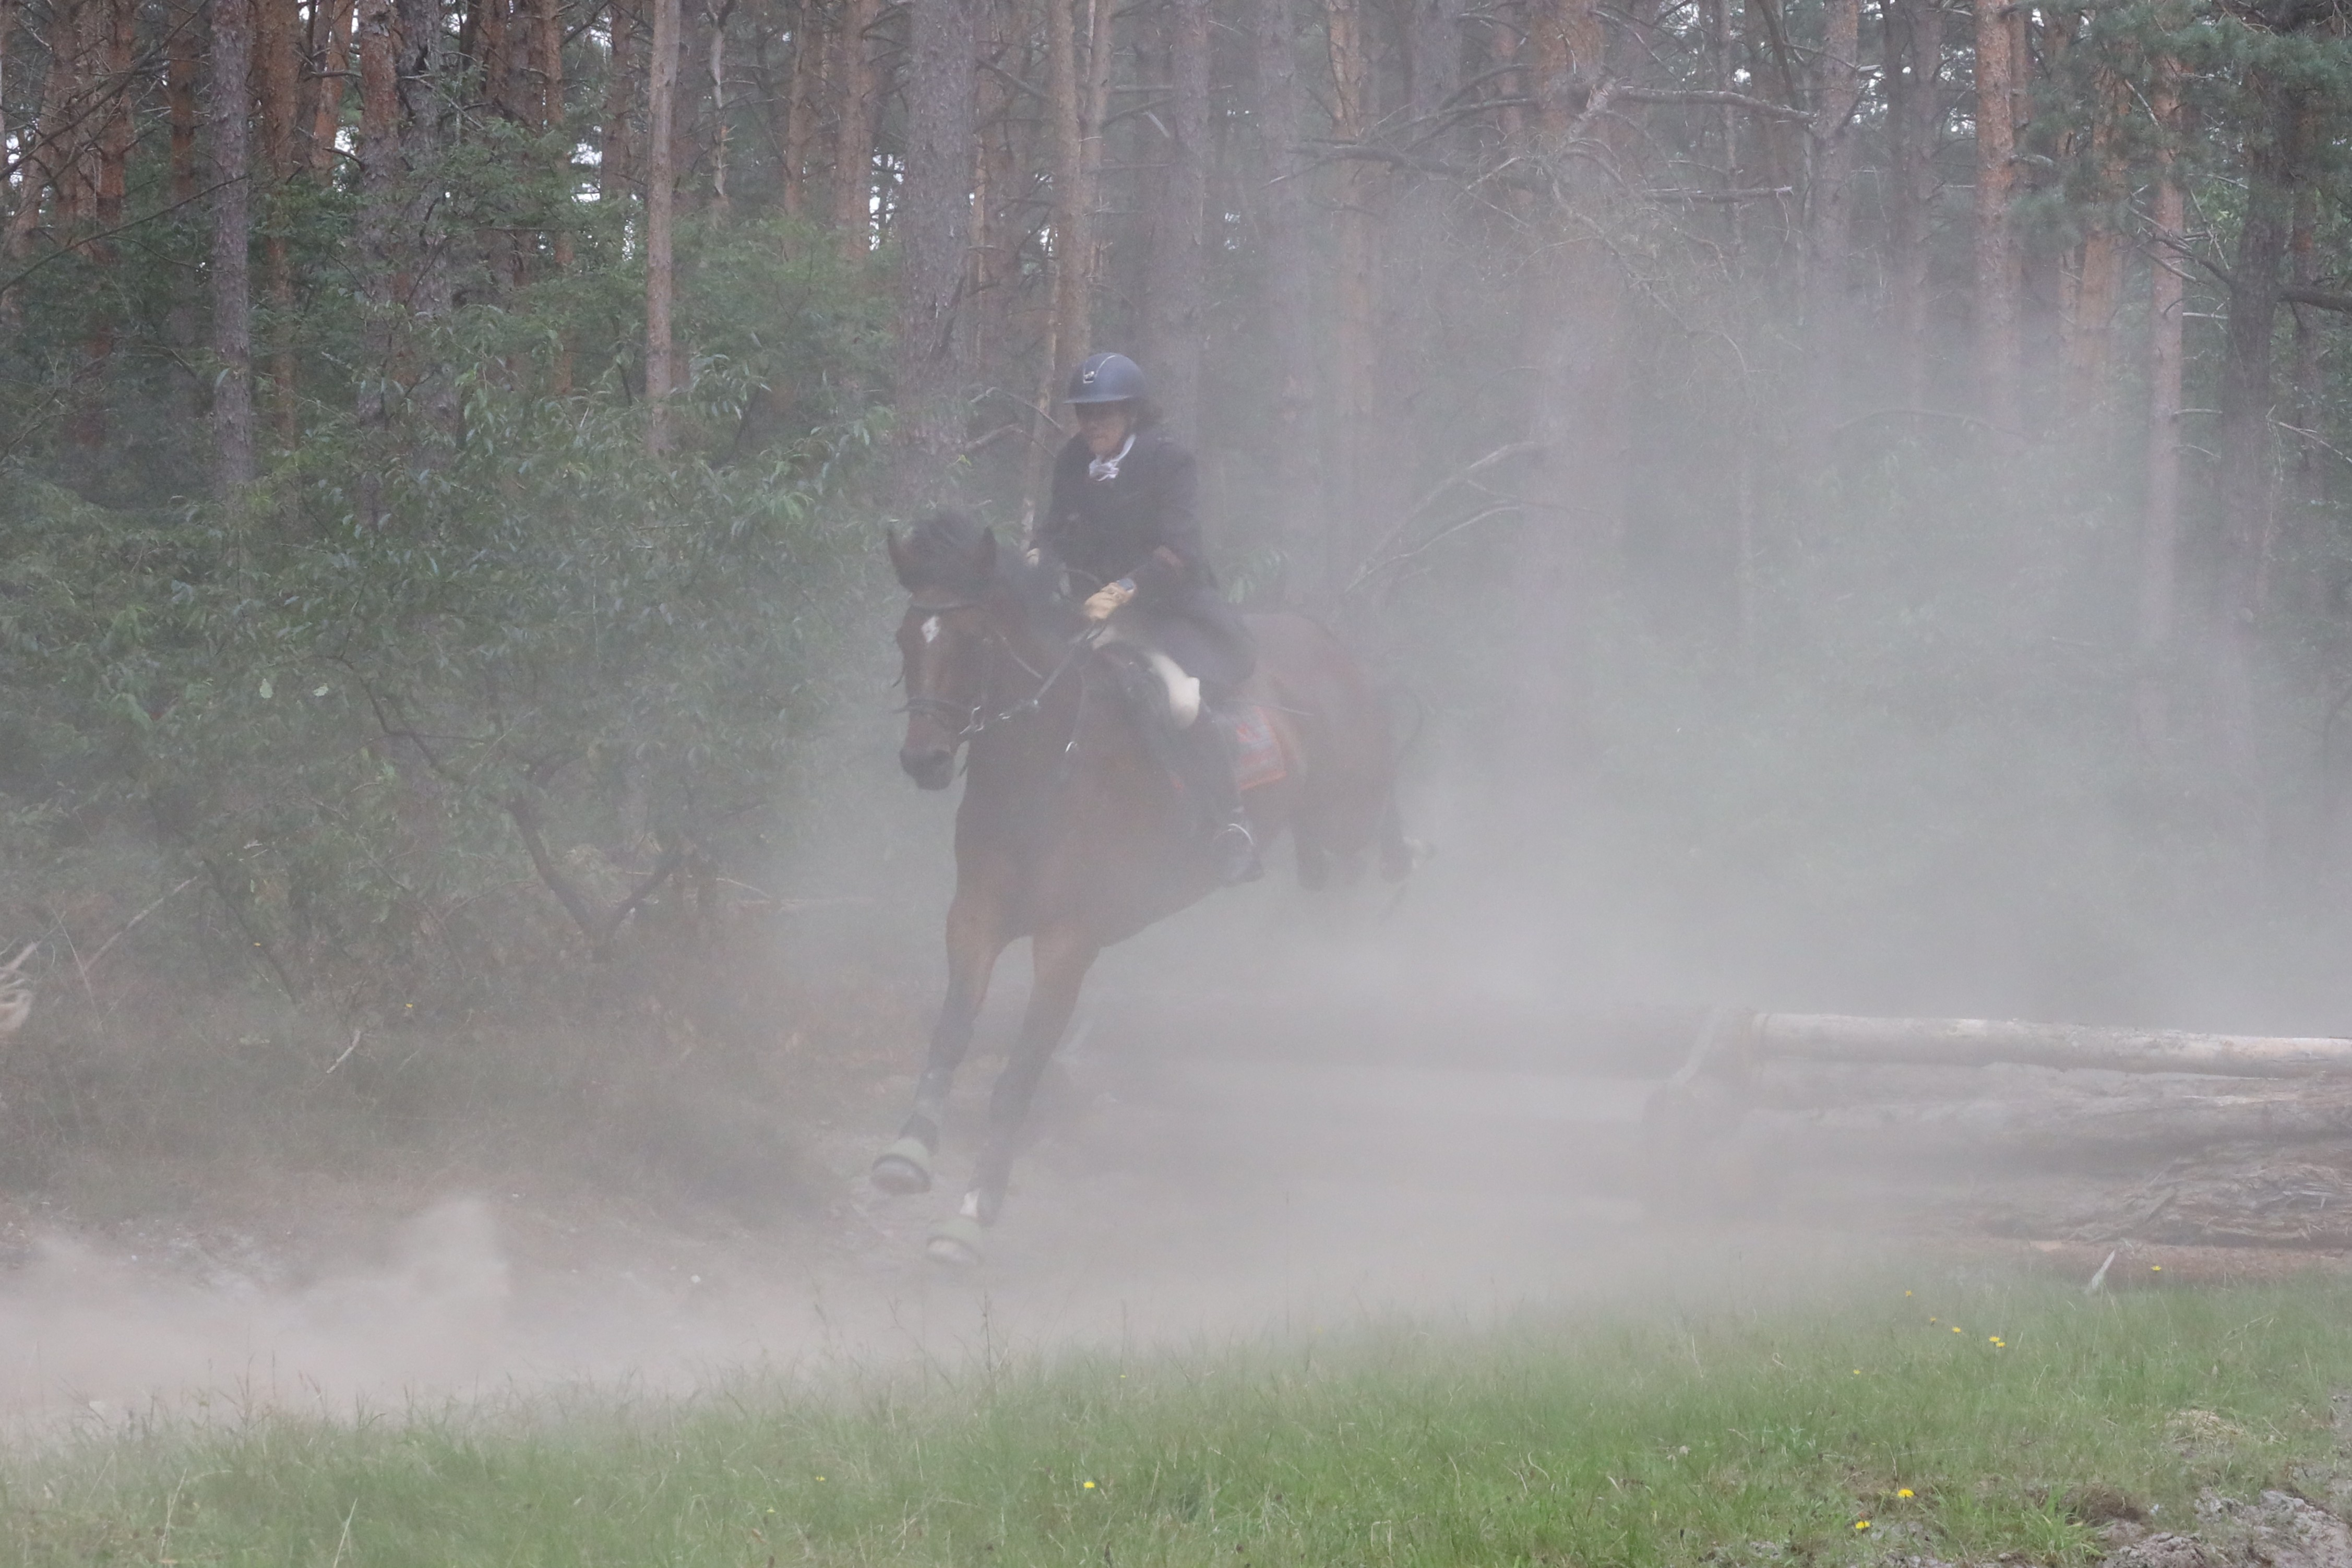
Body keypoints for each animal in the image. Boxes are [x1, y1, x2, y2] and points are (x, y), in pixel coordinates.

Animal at [874, 510, 1416, 1264]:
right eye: (905, 636)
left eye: (975, 639)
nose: (922, 759)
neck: (1041, 771)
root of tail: (1330, 645)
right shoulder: (975, 914)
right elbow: (950, 1033)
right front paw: (907, 1155)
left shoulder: (1068, 942)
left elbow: (1017, 1078)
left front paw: (970, 1216)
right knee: (1327, 866)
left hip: (1350, 805)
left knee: (1376, 822)